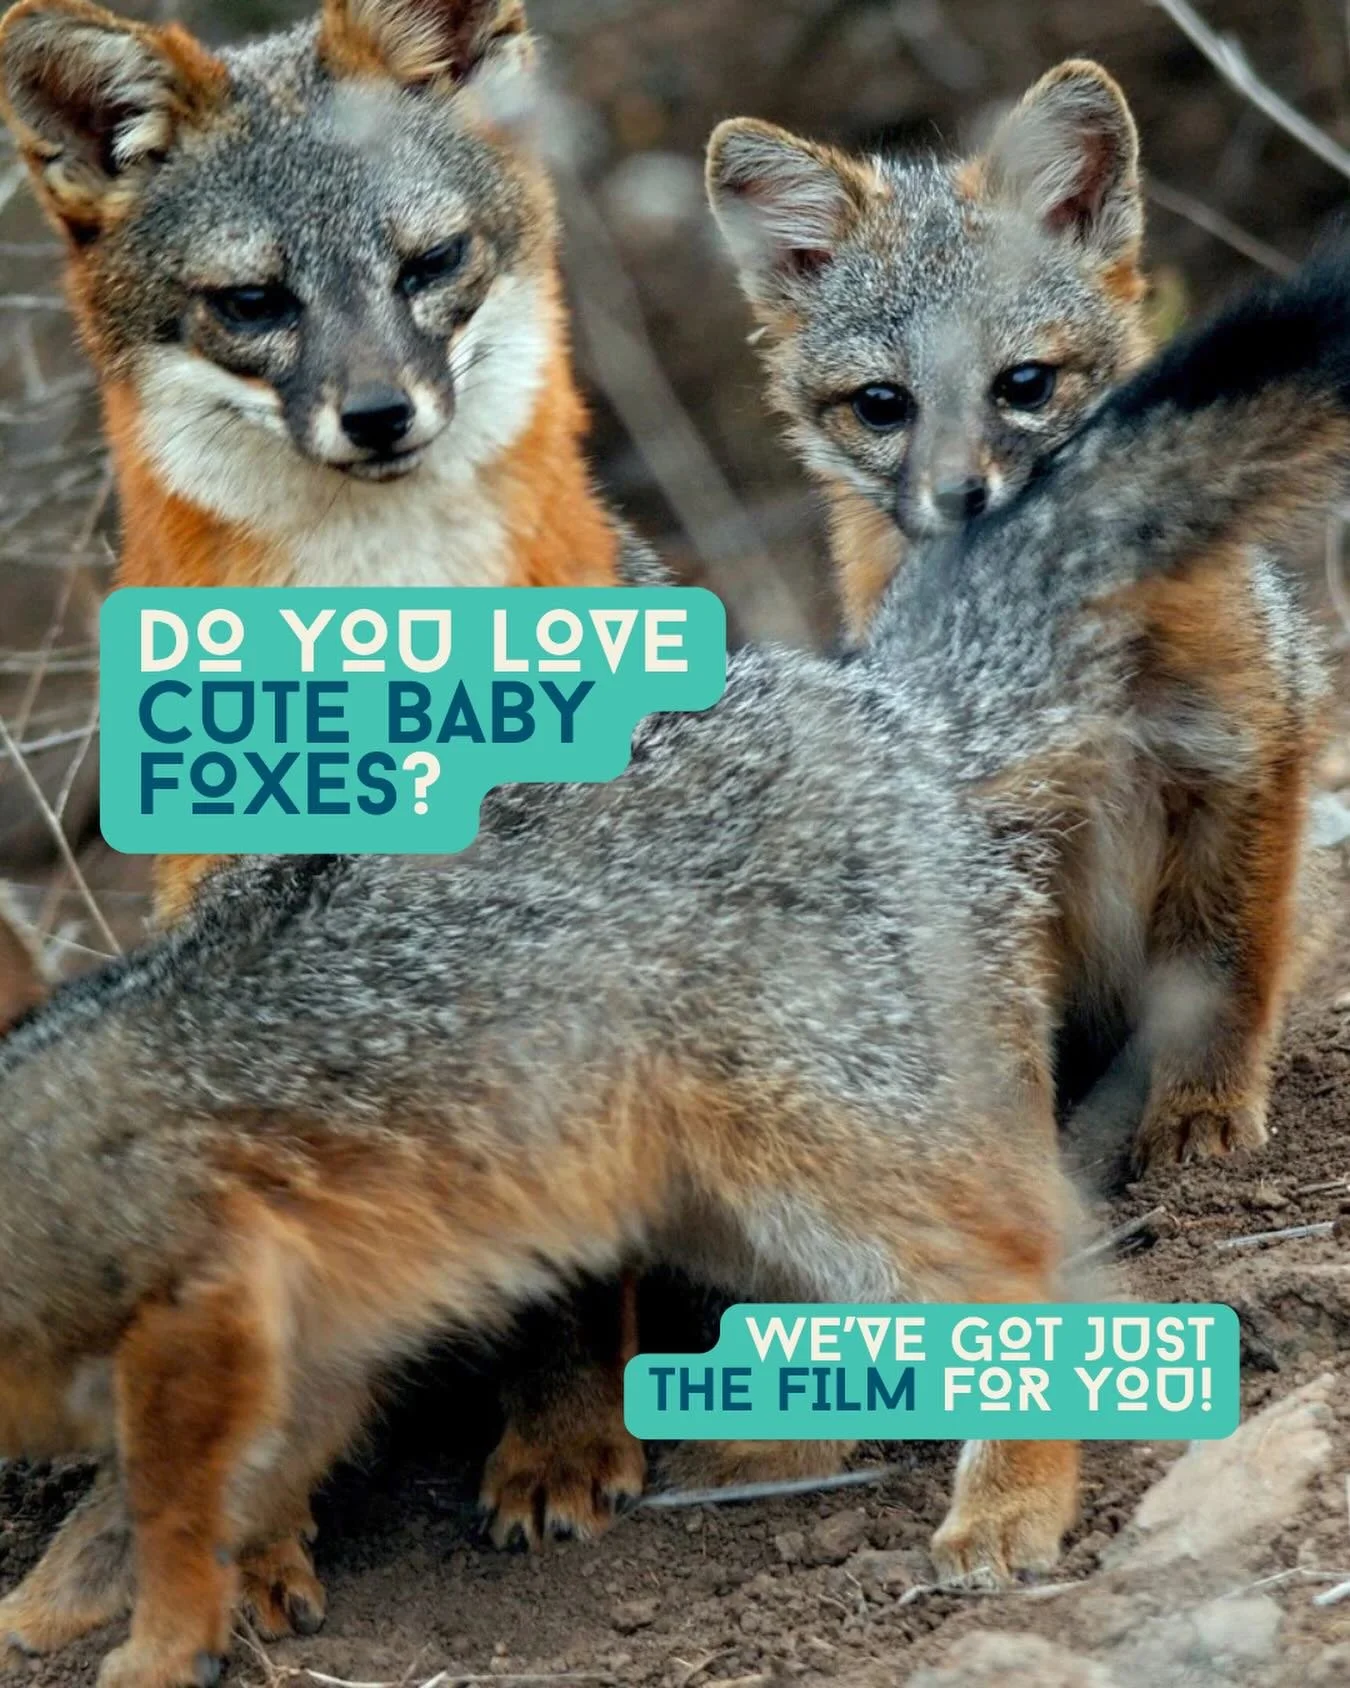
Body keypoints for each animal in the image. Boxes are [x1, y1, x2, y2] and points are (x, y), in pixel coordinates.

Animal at [3, 248, 1350, 1687]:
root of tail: (875, 703)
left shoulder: (204, 1306)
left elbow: (145, 1509)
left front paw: (132, 1640)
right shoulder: (308, 1333)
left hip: (827, 1164)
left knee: (1029, 1277)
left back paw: (1001, 1505)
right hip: (723, 1199)